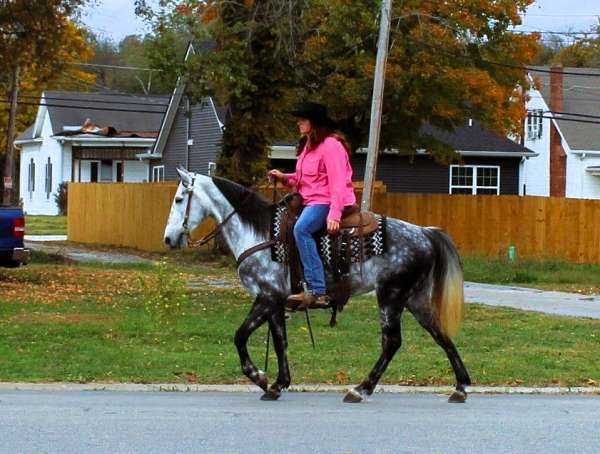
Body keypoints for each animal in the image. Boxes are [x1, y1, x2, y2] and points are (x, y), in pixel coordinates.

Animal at [165, 168, 474, 402]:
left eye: (180, 199)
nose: (168, 239)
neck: (259, 233)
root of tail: (424, 233)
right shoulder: (275, 301)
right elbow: (280, 341)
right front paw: (278, 384)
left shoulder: (266, 297)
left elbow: (240, 336)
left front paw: (260, 378)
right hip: (414, 298)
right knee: (440, 334)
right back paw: (460, 387)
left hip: (391, 295)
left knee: (392, 342)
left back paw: (361, 389)